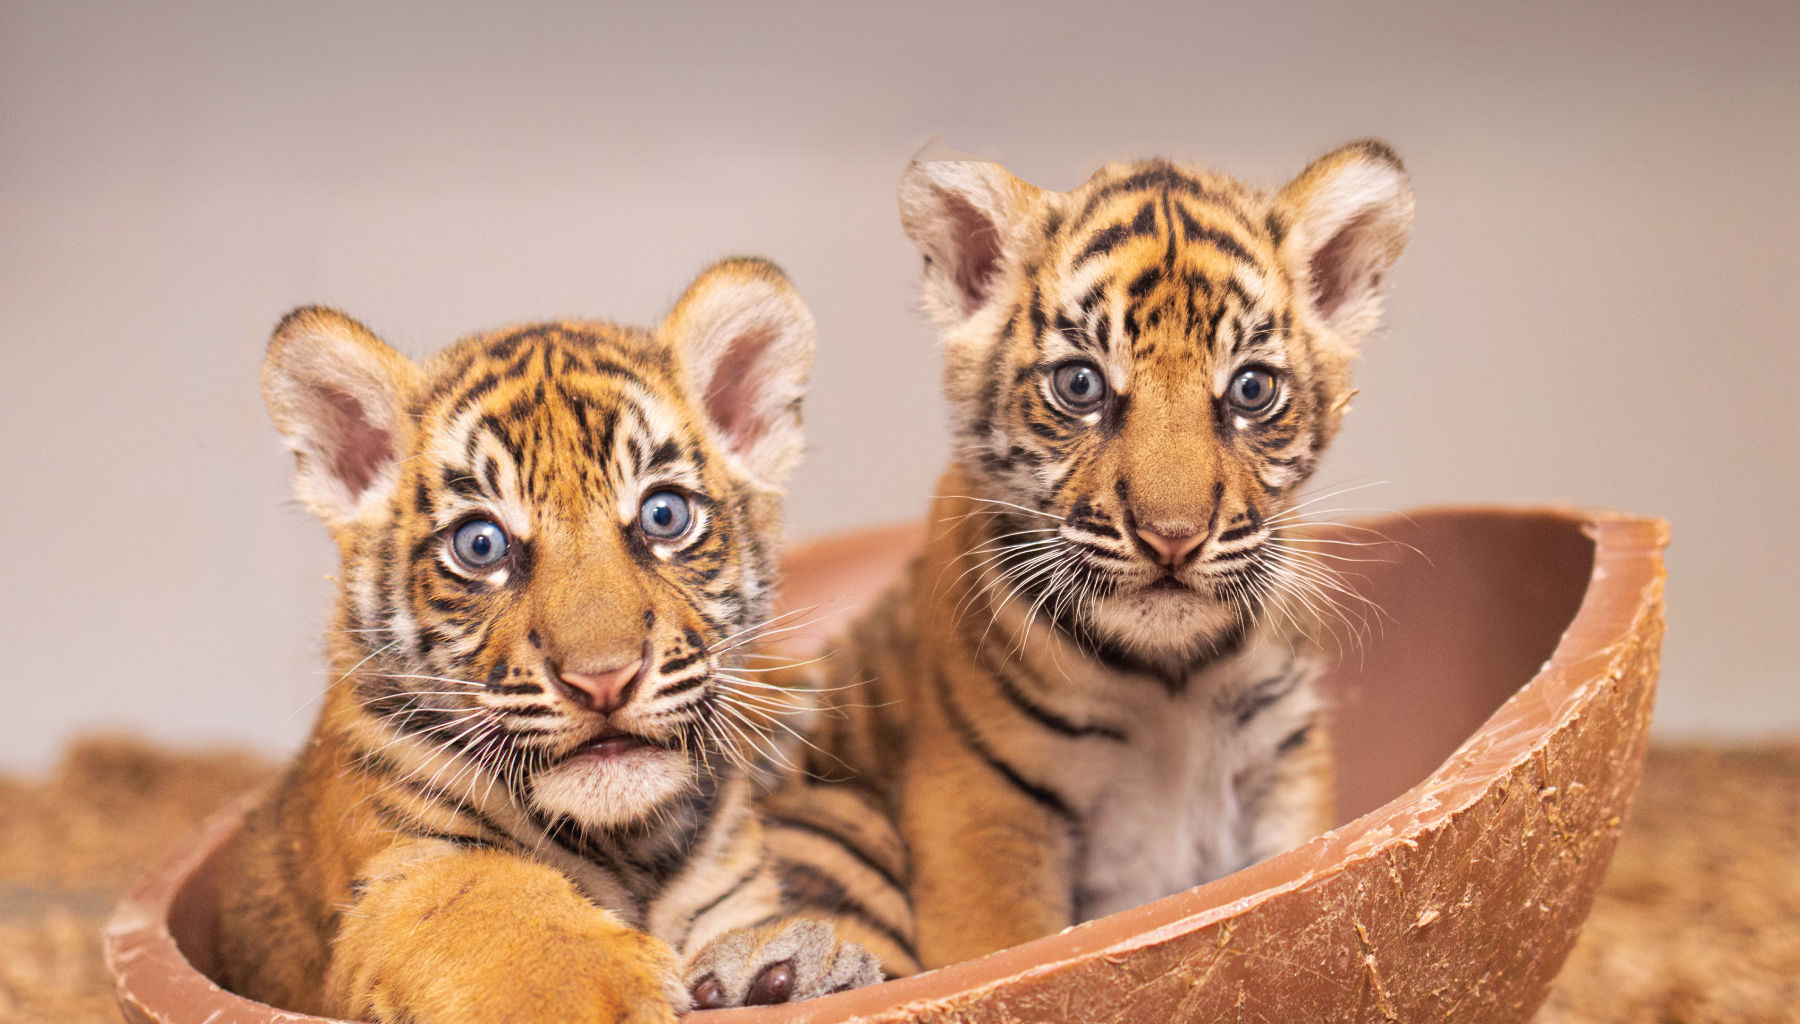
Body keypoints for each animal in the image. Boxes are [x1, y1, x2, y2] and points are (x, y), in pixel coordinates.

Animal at [212, 258, 913, 1024]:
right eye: (480, 545)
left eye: (664, 516)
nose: (604, 678)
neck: (632, 846)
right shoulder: (400, 874)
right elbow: (493, 908)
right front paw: (606, 991)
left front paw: (779, 970)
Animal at [801, 141, 1415, 968]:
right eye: (1080, 384)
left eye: (1252, 389)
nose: (1172, 536)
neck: (1172, 677)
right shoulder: (980, 807)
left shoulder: (1283, 761)